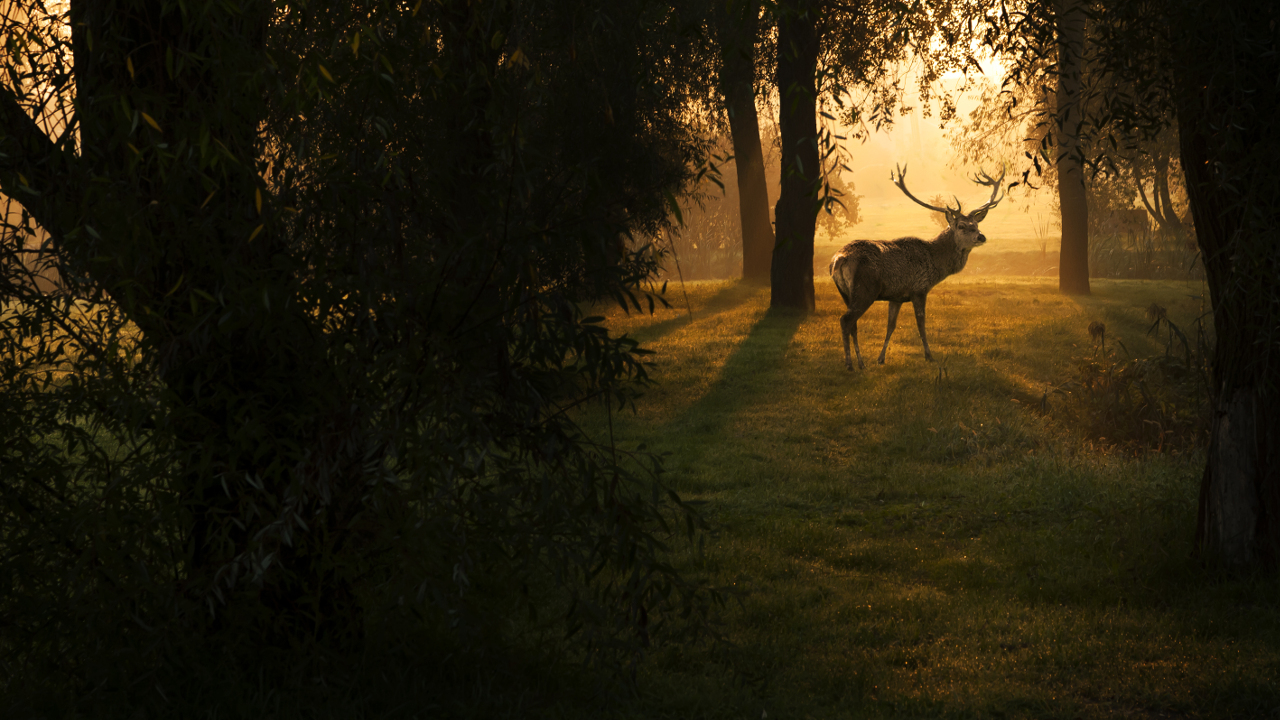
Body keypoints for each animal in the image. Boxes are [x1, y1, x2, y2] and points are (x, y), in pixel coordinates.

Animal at [834, 163, 1003, 368]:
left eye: (976, 225)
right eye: (961, 226)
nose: (981, 236)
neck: (935, 262)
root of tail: (839, 259)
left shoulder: (896, 296)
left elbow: (891, 326)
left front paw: (881, 358)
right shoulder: (919, 289)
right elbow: (921, 324)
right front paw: (929, 355)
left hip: (846, 293)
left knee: (853, 324)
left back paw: (860, 362)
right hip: (865, 289)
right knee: (846, 320)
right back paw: (850, 364)